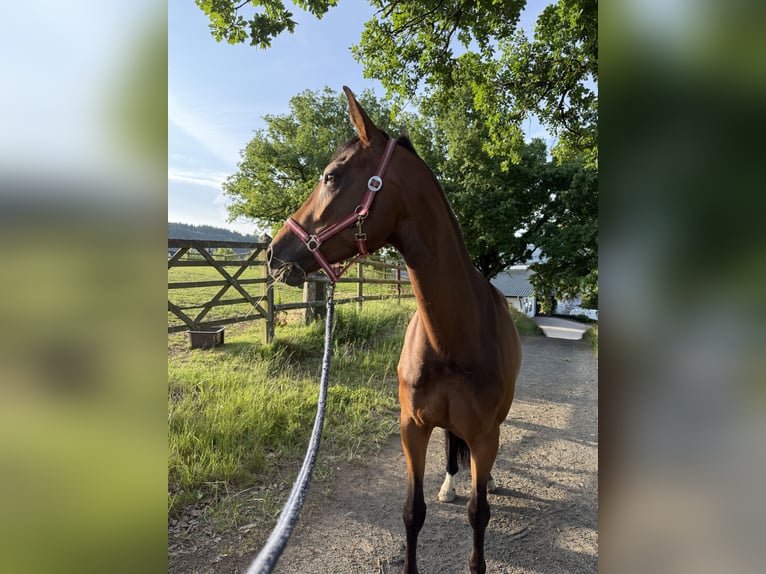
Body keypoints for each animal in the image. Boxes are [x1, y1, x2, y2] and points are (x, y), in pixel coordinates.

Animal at [266, 86, 521, 574]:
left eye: (331, 176)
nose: (274, 252)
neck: (452, 338)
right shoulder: (412, 428)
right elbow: (412, 512)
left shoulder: (484, 435)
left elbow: (478, 514)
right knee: (450, 449)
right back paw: (449, 484)